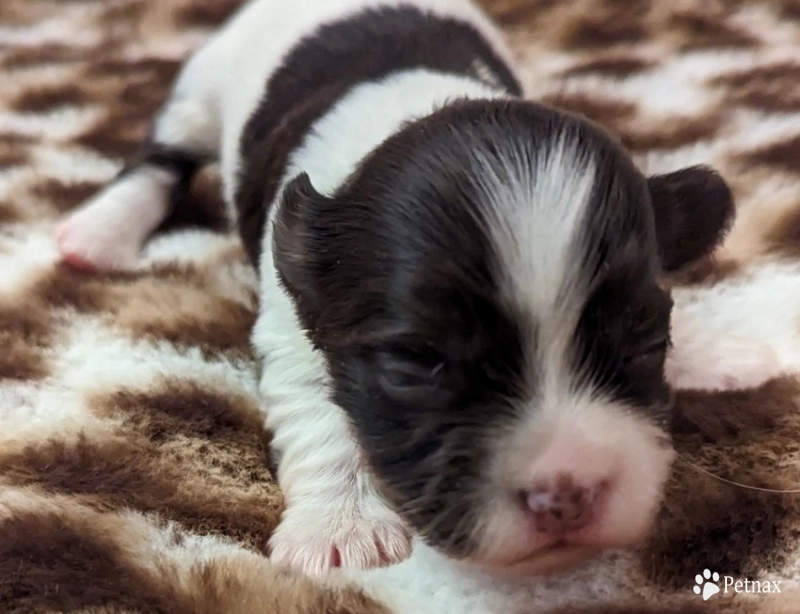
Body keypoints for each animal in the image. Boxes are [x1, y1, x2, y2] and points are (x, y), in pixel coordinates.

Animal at [53, 0, 780, 584]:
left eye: (646, 343)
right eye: (417, 365)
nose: (567, 496)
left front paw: (716, 351)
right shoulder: (294, 313)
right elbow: (318, 409)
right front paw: (340, 526)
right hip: (200, 90)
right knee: (159, 160)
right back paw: (97, 233)